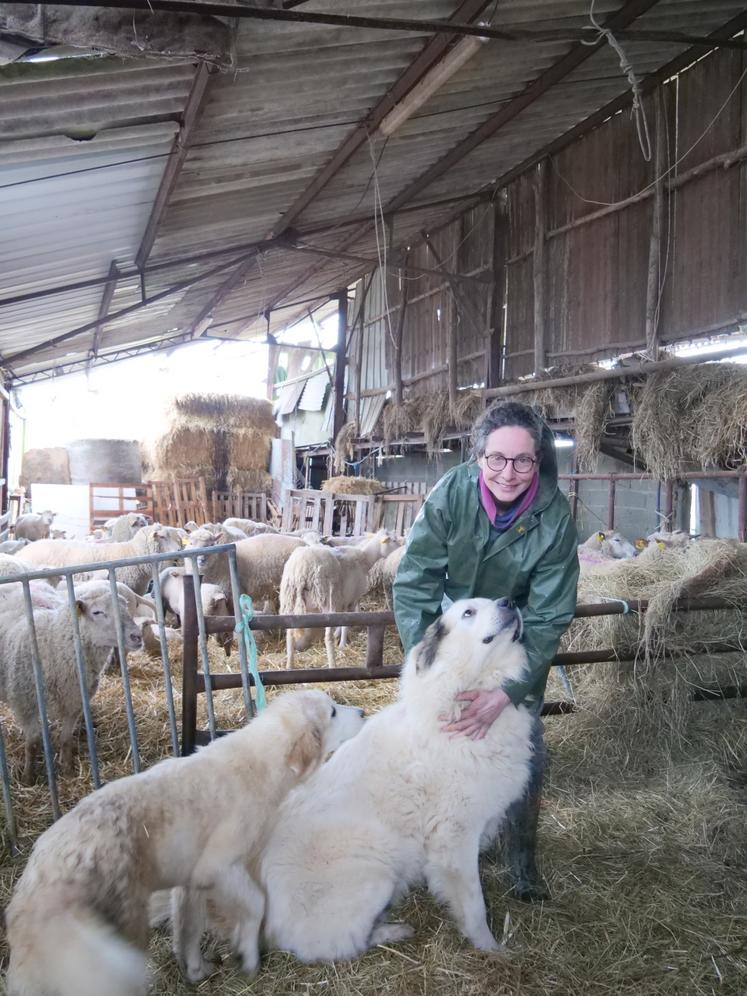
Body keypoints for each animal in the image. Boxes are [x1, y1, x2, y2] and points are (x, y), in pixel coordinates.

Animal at [0, 584, 143, 784]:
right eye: (97, 612)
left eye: (126, 606)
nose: (137, 636)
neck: (54, 643)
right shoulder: (25, 705)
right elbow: (33, 743)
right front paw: (28, 777)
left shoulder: (74, 702)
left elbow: (66, 739)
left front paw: (68, 770)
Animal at [4, 688, 366, 996]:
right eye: (333, 712)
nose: (363, 711)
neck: (258, 766)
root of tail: (43, 881)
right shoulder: (219, 867)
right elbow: (256, 903)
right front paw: (248, 956)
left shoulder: (190, 880)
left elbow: (188, 929)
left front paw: (196, 970)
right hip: (123, 926)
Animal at [258, 596, 536, 960]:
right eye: (468, 612)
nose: (510, 601)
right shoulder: (455, 837)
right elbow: (474, 904)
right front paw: (490, 948)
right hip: (377, 875)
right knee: (342, 942)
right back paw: (394, 930)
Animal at [280, 528, 398, 668]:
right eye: (394, 540)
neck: (364, 558)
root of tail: (302, 568)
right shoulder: (350, 600)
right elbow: (345, 625)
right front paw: (342, 645)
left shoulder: (342, 601)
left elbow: (341, 623)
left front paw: (339, 637)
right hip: (325, 599)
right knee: (327, 636)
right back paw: (332, 664)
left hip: (289, 597)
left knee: (289, 633)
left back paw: (289, 664)